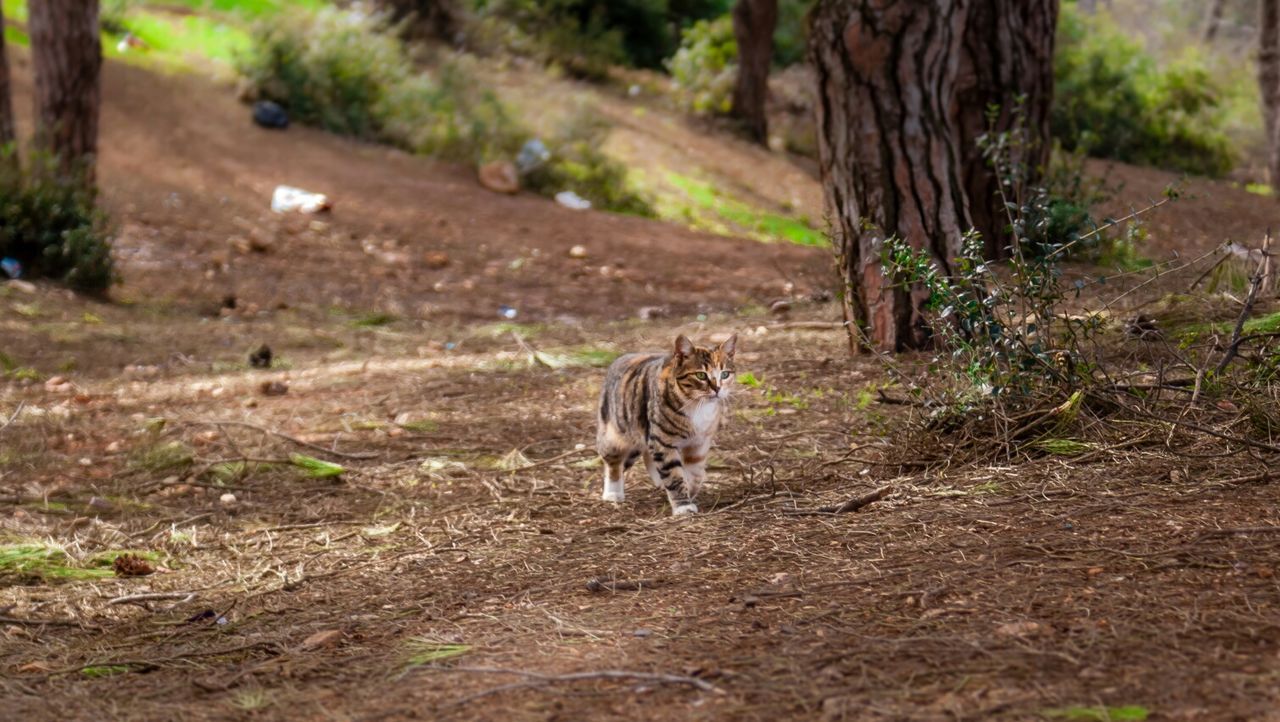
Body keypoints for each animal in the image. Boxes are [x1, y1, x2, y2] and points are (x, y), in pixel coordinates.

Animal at [593, 335, 737, 517]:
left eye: (725, 374)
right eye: (701, 375)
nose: (717, 389)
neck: (697, 405)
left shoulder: (699, 443)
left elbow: (695, 473)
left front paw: (690, 491)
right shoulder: (662, 441)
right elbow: (674, 475)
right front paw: (683, 505)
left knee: (647, 455)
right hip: (614, 432)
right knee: (612, 462)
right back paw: (613, 492)